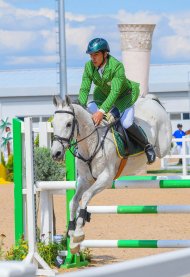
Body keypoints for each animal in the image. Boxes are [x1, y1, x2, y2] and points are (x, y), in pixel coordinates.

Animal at [50, 94, 172, 252]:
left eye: (69, 124)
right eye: (53, 124)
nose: (56, 154)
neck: (90, 143)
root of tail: (151, 100)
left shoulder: (106, 179)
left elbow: (86, 196)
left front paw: (78, 233)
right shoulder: (84, 179)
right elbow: (74, 201)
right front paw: (72, 236)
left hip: (163, 147)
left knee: (161, 150)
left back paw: (150, 152)